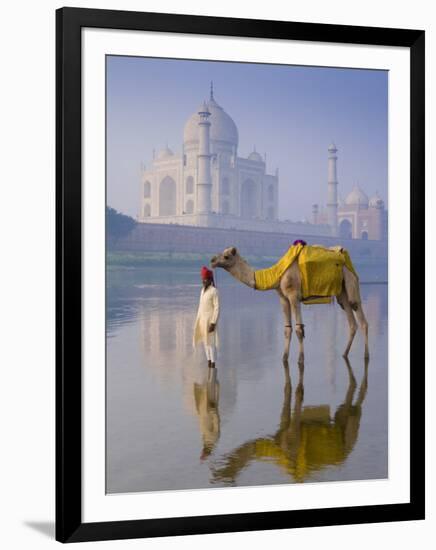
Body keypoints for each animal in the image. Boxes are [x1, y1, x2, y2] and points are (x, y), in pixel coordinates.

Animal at [210, 248, 368, 364]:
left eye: (226, 256)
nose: (212, 260)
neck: (276, 275)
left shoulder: (293, 296)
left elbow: (299, 329)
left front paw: (300, 360)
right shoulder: (283, 298)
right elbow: (287, 330)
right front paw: (284, 358)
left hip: (351, 280)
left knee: (360, 316)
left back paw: (366, 356)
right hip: (342, 291)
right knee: (351, 320)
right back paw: (344, 354)